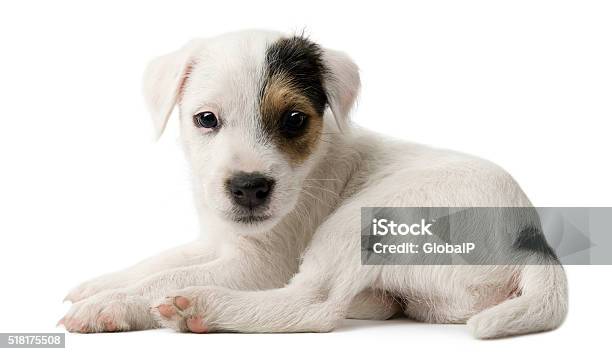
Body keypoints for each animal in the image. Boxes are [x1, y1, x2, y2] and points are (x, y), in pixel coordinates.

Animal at [59, 29, 568, 338]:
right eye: (206, 119)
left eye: (294, 119)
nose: (249, 188)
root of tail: (534, 246)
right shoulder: (217, 239)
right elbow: (161, 260)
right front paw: (102, 284)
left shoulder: (261, 265)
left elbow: (167, 276)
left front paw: (113, 303)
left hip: (361, 221)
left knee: (314, 305)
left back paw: (202, 307)